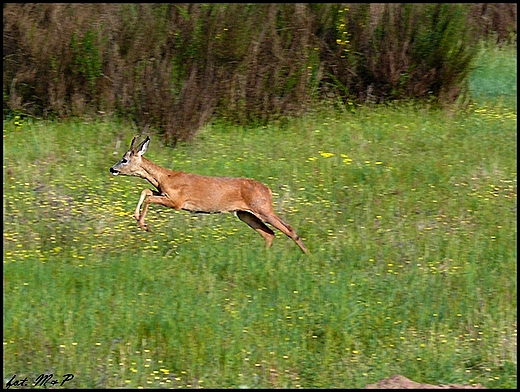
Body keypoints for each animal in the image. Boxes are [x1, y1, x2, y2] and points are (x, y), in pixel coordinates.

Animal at [107, 136, 306, 256]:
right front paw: (138, 218)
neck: (165, 177)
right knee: (269, 233)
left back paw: (307, 256)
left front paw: (144, 225)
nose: (112, 169)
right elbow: (146, 191)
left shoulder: (177, 201)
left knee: (288, 229)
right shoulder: (164, 193)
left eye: (124, 160)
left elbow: (149, 196)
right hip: (244, 213)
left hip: (262, 207)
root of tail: (268, 190)